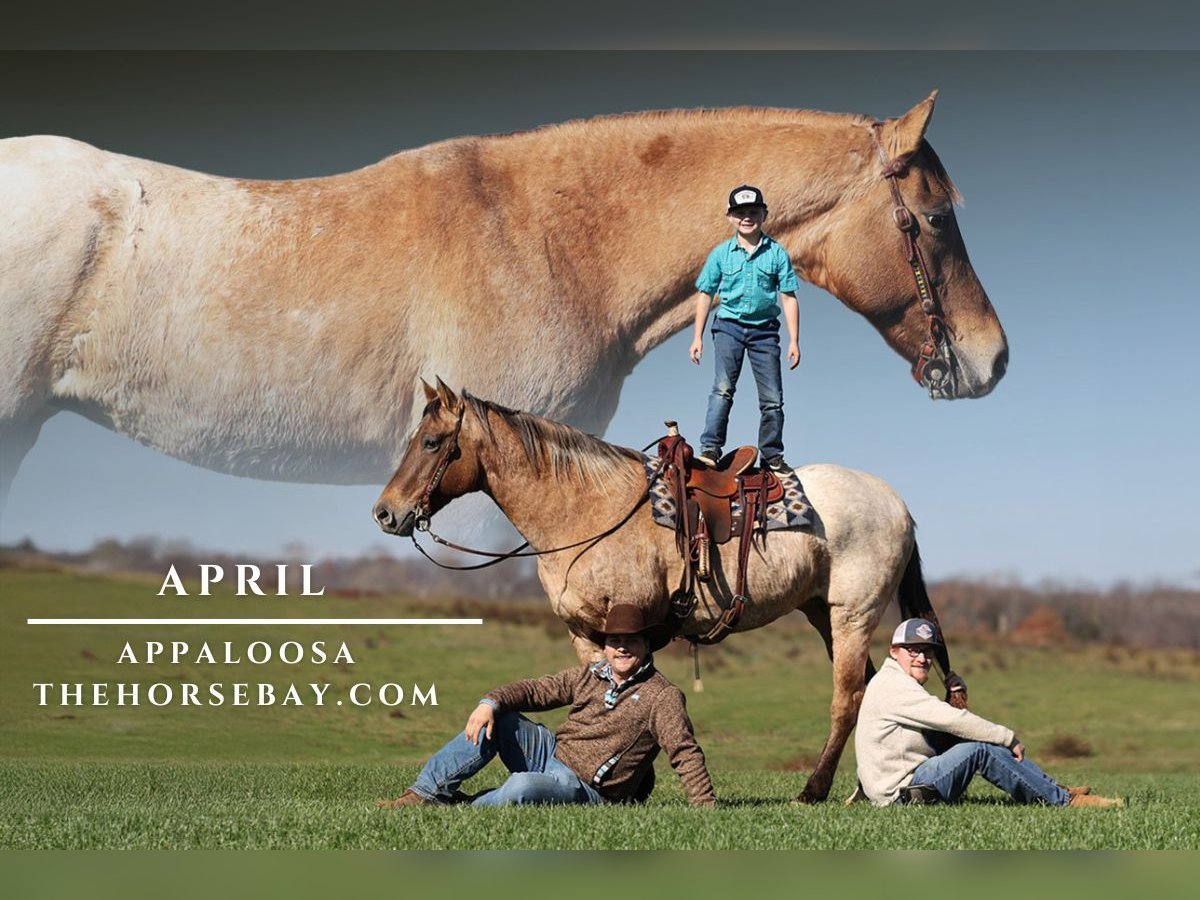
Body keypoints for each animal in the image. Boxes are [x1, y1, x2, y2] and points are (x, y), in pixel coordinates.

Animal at [374, 384, 964, 806]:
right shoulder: (585, 632)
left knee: (848, 697)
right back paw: (860, 789)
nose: (385, 512)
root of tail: (896, 503)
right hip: (822, 613)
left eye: (431, 442)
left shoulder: (632, 622)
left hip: (852, 614)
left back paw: (814, 791)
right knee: (870, 690)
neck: (588, 510)